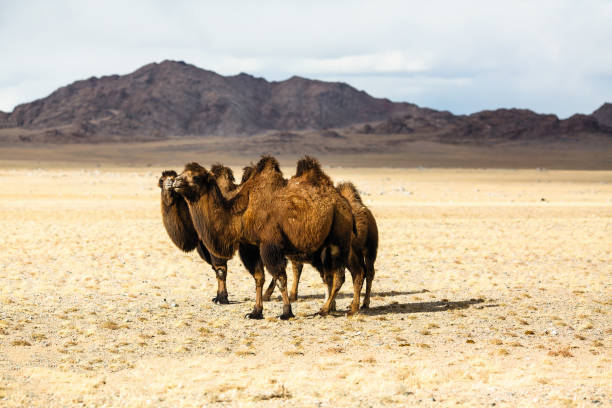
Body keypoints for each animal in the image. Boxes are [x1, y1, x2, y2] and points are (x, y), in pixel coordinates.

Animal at [158, 164, 244, 304]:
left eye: (173, 178)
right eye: (162, 180)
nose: (172, 183)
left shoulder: (218, 243)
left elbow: (221, 269)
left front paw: (222, 299)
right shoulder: (204, 244)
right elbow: (215, 269)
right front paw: (218, 297)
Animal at [172, 156, 354, 318]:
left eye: (196, 177)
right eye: (182, 172)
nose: (175, 182)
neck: (241, 213)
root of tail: (344, 202)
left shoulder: (269, 244)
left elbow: (280, 277)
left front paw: (286, 312)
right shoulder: (250, 246)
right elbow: (258, 278)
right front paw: (255, 312)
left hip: (338, 239)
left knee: (339, 276)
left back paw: (324, 310)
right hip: (320, 246)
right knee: (328, 275)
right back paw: (330, 308)